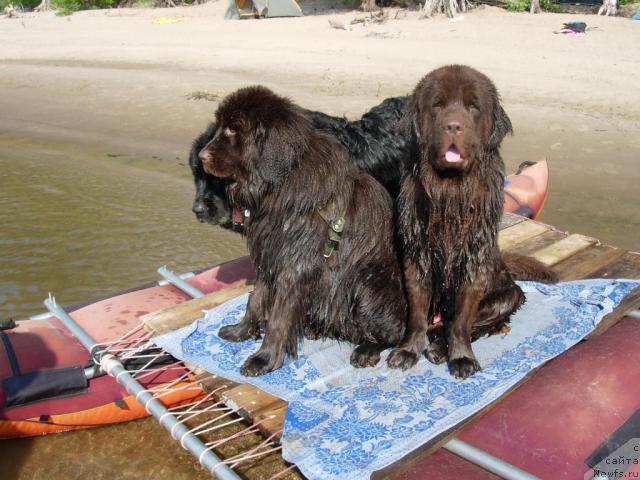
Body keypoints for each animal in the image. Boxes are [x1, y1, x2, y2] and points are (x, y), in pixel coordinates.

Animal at [200, 87, 408, 378]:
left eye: (232, 129)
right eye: (221, 126)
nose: (201, 156)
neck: (281, 181)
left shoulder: (296, 265)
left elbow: (278, 317)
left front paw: (263, 359)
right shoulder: (270, 256)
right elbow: (256, 300)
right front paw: (241, 331)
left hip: (367, 286)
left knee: (392, 332)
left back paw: (367, 349)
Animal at [384, 64, 556, 378]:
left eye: (473, 107)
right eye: (437, 105)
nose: (453, 126)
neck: (451, 193)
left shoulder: (473, 262)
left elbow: (463, 321)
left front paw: (461, 358)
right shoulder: (418, 255)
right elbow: (416, 314)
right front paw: (407, 351)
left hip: (506, 296)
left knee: (475, 324)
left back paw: (441, 349)